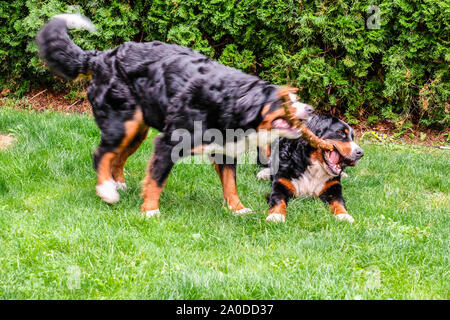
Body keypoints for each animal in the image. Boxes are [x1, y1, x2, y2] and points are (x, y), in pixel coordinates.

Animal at [36, 14, 316, 218]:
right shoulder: (169, 142)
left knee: (116, 157)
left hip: (137, 129)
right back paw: (107, 191)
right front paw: (150, 211)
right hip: (123, 122)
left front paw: (237, 209)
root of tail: (100, 56)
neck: (225, 100)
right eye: (285, 100)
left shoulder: (225, 150)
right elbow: (157, 178)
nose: (311, 110)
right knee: (102, 153)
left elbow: (230, 183)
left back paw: (118, 184)